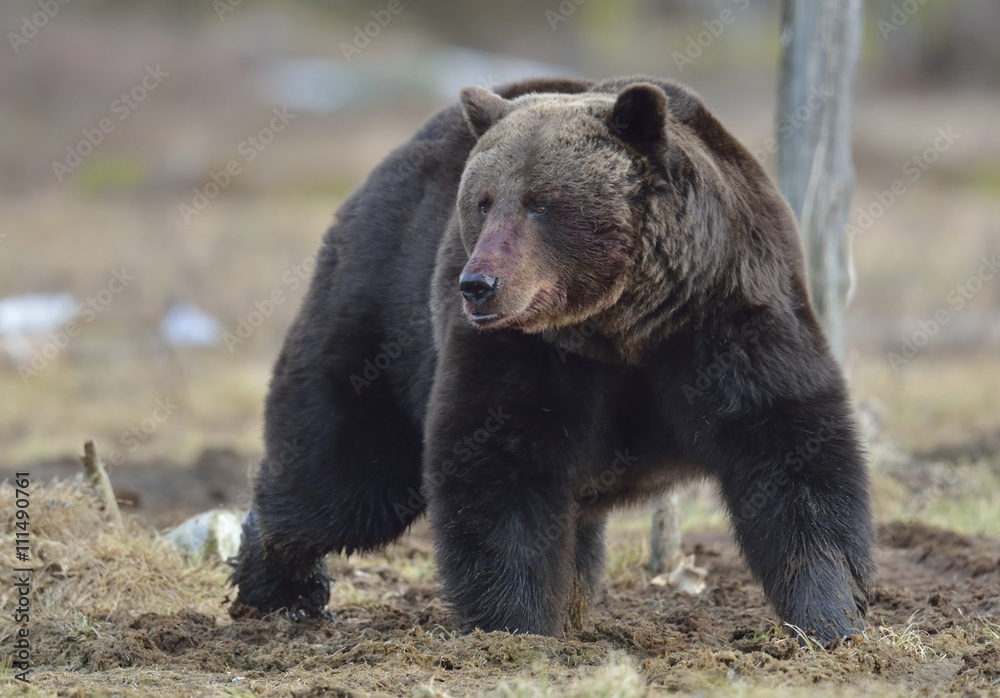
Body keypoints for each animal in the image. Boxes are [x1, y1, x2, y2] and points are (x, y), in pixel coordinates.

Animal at [229, 75, 876, 640]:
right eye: (483, 201)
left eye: (541, 203)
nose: (478, 285)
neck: (624, 323)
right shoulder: (526, 352)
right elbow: (500, 465)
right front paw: (515, 625)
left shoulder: (731, 316)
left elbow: (792, 454)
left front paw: (832, 615)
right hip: (382, 311)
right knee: (346, 475)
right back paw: (280, 588)